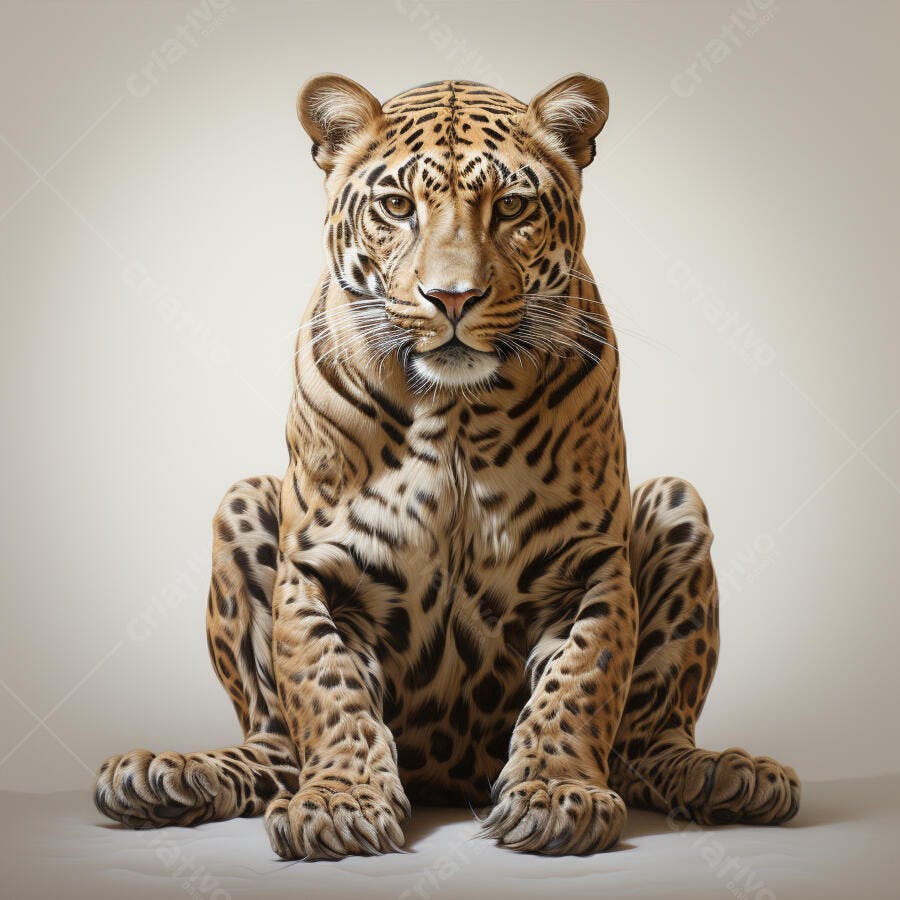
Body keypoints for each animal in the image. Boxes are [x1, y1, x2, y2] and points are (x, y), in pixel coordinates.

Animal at [94, 74, 800, 859]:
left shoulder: (592, 564)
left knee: (644, 741)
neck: (458, 413)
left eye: (512, 208)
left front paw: (555, 795)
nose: (453, 297)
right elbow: (325, 685)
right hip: (241, 501)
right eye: (398, 208)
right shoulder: (314, 567)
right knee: (275, 742)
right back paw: (168, 775)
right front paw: (338, 803)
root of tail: (449, 776)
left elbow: (580, 681)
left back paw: (727, 775)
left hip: (678, 503)